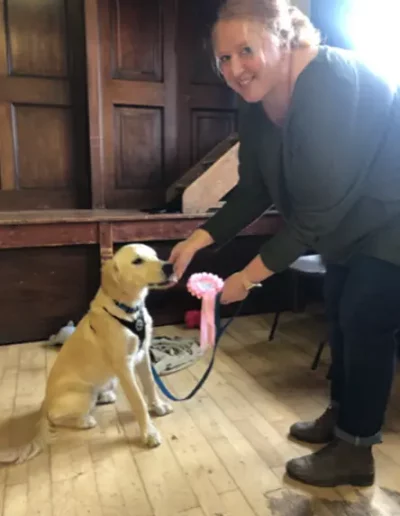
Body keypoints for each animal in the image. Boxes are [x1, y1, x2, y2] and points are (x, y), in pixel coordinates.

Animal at [0, 244, 175, 466]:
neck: (130, 311)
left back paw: (106, 395)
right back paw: (84, 421)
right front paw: (149, 434)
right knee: (57, 417)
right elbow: (138, 402)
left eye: (155, 255)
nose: (170, 266)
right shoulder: (124, 366)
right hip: (84, 395)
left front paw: (158, 406)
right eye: (137, 261)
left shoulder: (142, 355)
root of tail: (44, 403)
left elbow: (151, 385)